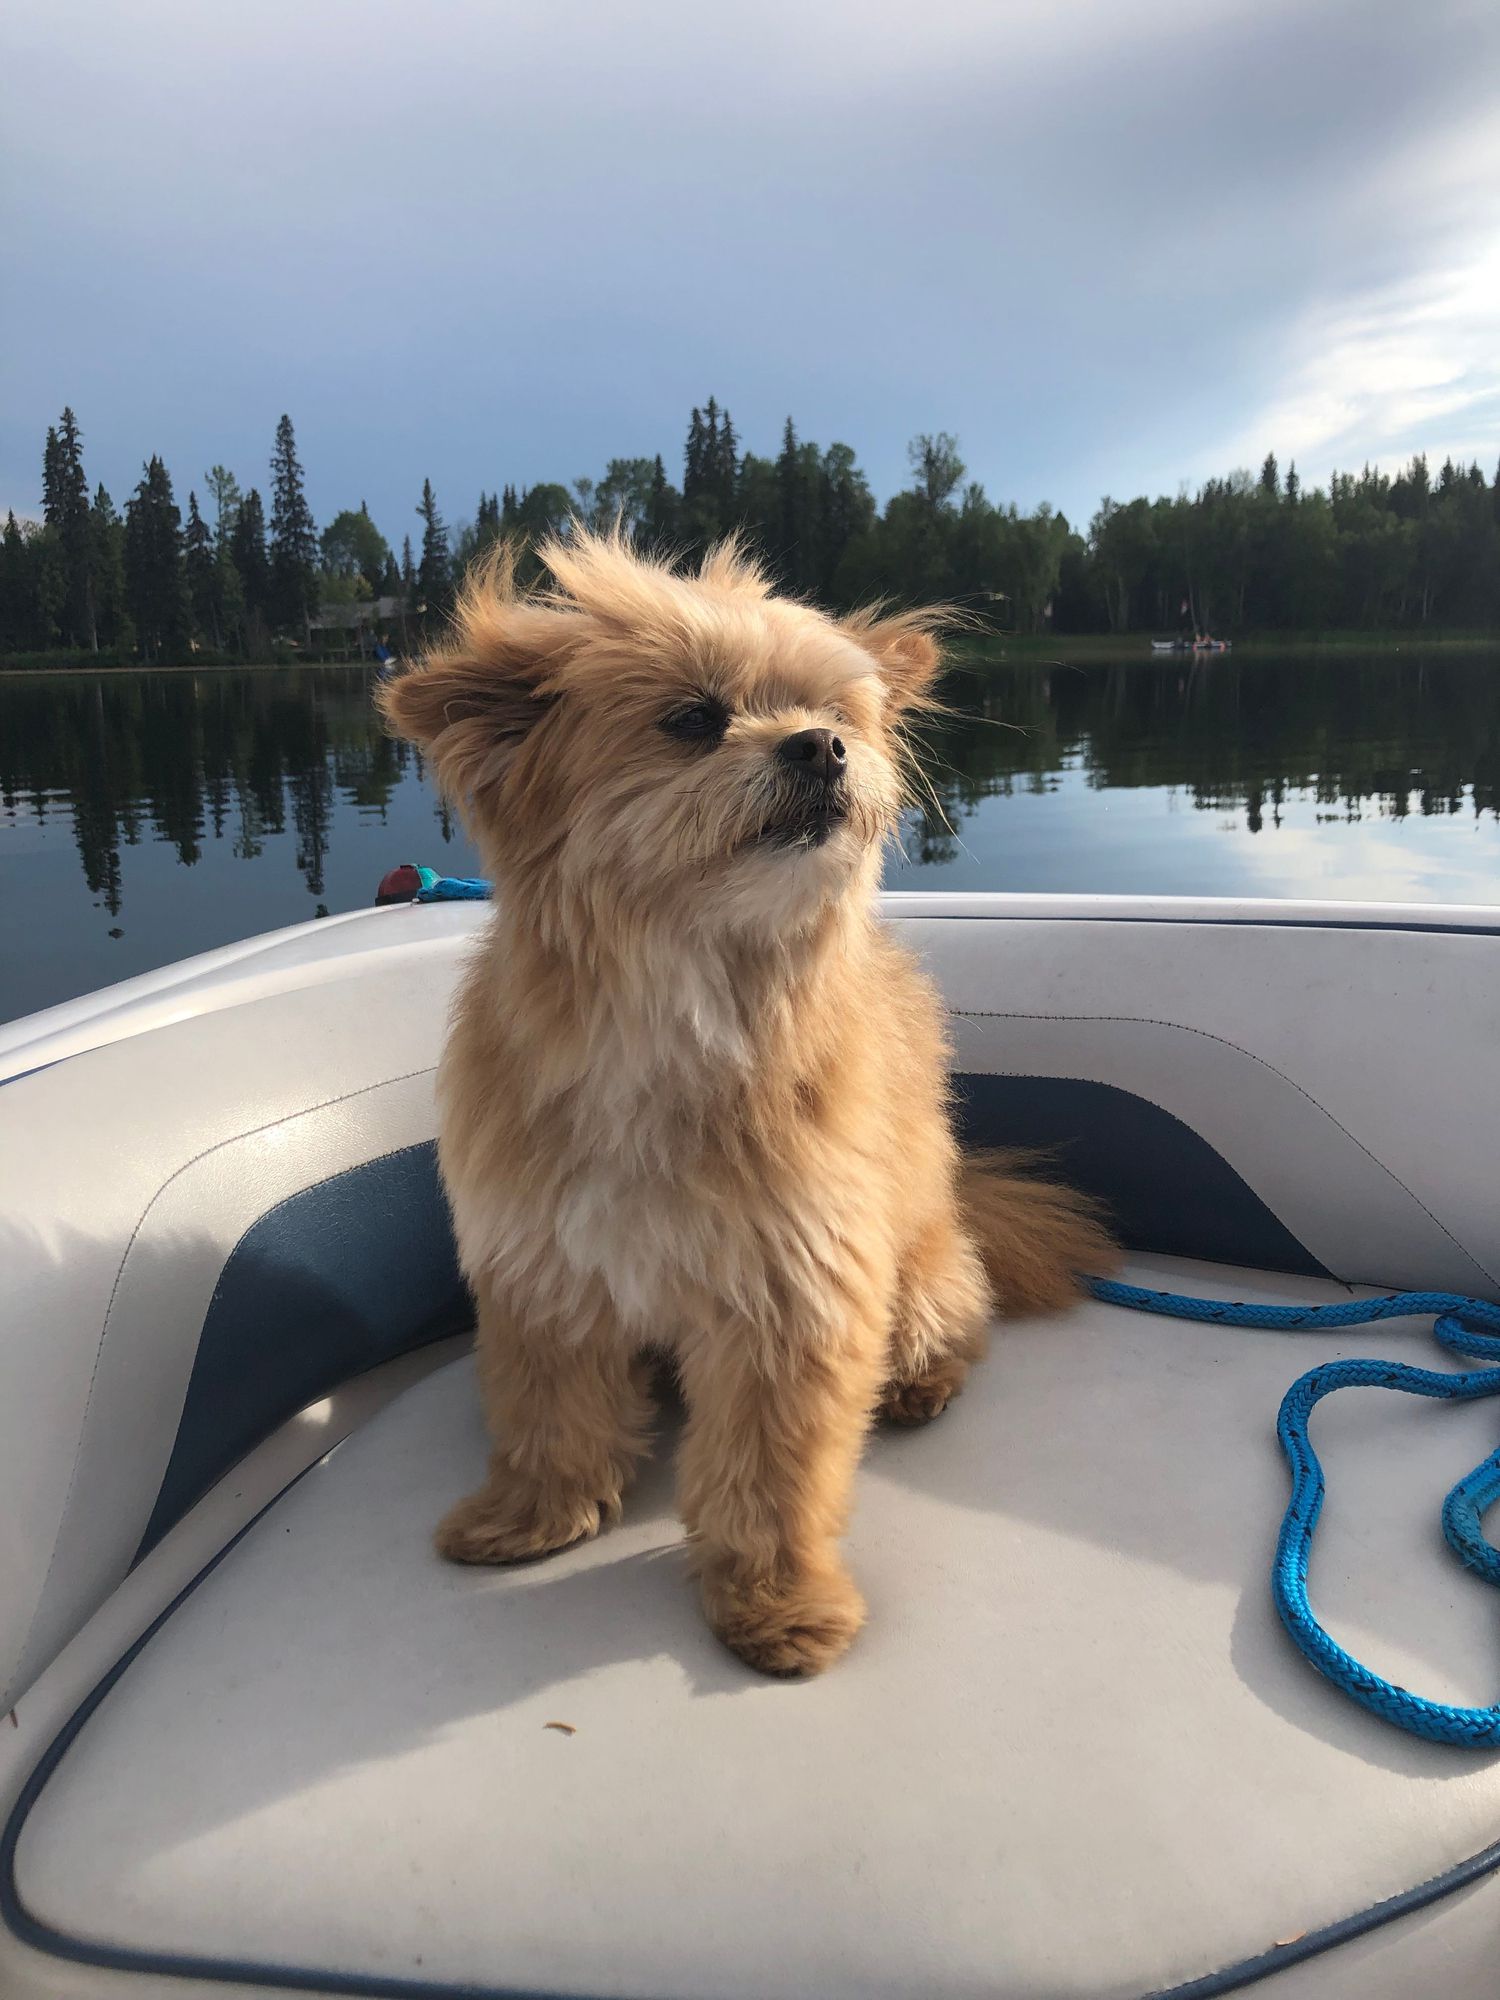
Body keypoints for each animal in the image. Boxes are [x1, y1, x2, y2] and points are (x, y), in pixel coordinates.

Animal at [382, 532, 1120, 1672]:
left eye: (837, 712)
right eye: (693, 718)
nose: (822, 748)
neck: (682, 1001)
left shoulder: (796, 1291)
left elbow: (773, 1475)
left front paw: (775, 1600)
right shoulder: (544, 1267)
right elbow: (551, 1412)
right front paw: (534, 1513)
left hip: (918, 1276)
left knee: (954, 1322)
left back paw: (920, 1382)